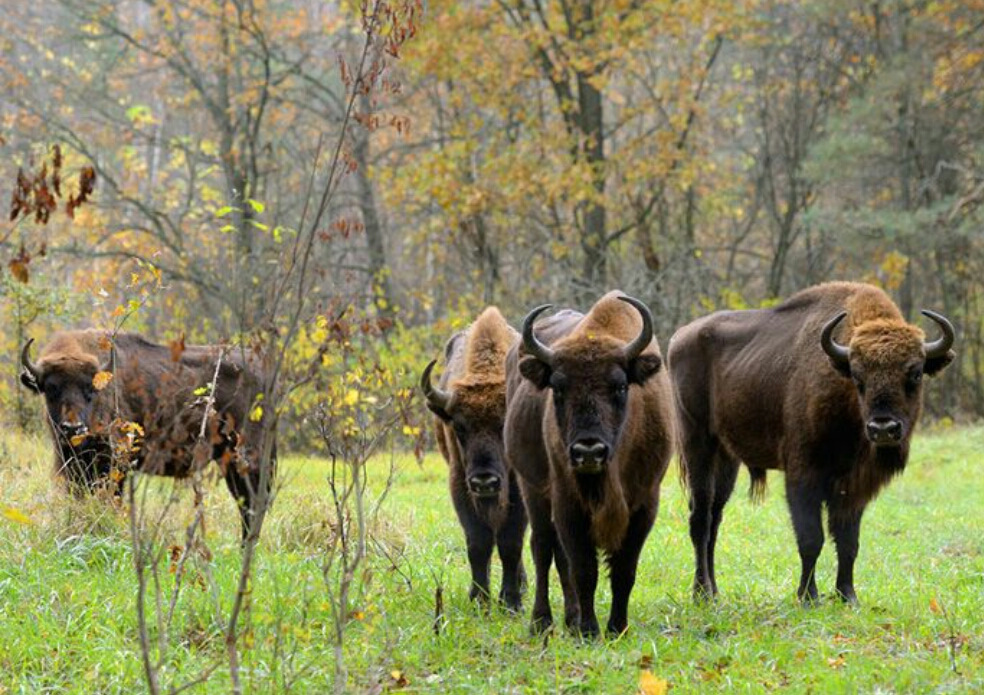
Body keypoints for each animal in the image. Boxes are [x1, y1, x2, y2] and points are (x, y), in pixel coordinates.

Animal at [21, 328, 274, 540]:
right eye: (51, 388)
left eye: (90, 388)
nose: (73, 428)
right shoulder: (73, 465)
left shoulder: (114, 464)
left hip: (246, 457)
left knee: (253, 502)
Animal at [422, 308, 532, 612]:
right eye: (459, 427)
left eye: (504, 424)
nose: (485, 481)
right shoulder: (460, 484)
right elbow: (478, 543)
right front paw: (480, 601)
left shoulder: (518, 488)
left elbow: (510, 543)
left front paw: (511, 602)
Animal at [508, 290, 676, 640]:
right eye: (558, 388)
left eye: (621, 386)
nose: (589, 451)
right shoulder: (568, 503)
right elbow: (584, 569)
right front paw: (589, 630)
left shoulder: (644, 504)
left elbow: (624, 570)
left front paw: (617, 628)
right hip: (532, 489)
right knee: (543, 549)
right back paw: (542, 623)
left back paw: (570, 620)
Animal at [668, 282, 952, 604]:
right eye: (858, 376)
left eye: (915, 373)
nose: (883, 428)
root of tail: (680, 337)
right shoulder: (804, 476)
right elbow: (811, 539)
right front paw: (808, 597)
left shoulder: (853, 487)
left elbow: (848, 542)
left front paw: (847, 595)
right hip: (697, 445)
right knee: (700, 519)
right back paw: (702, 594)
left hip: (727, 458)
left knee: (715, 518)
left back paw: (715, 592)